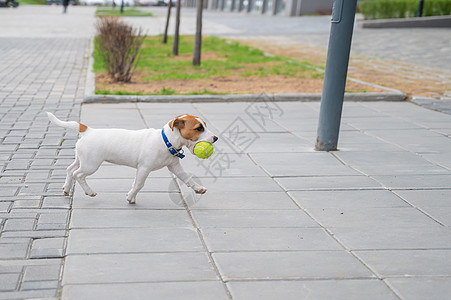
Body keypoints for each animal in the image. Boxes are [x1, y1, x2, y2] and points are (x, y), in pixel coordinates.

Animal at [47, 112, 219, 204]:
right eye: (199, 128)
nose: (216, 138)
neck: (166, 141)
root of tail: (88, 130)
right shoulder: (144, 168)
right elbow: (138, 184)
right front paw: (130, 197)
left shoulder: (174, 167)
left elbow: (187, 178)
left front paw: (198, 188)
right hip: (91, 164)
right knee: (78, 175)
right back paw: (89, 192)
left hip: (82, 160)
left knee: (70, 170)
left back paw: (66, 188)